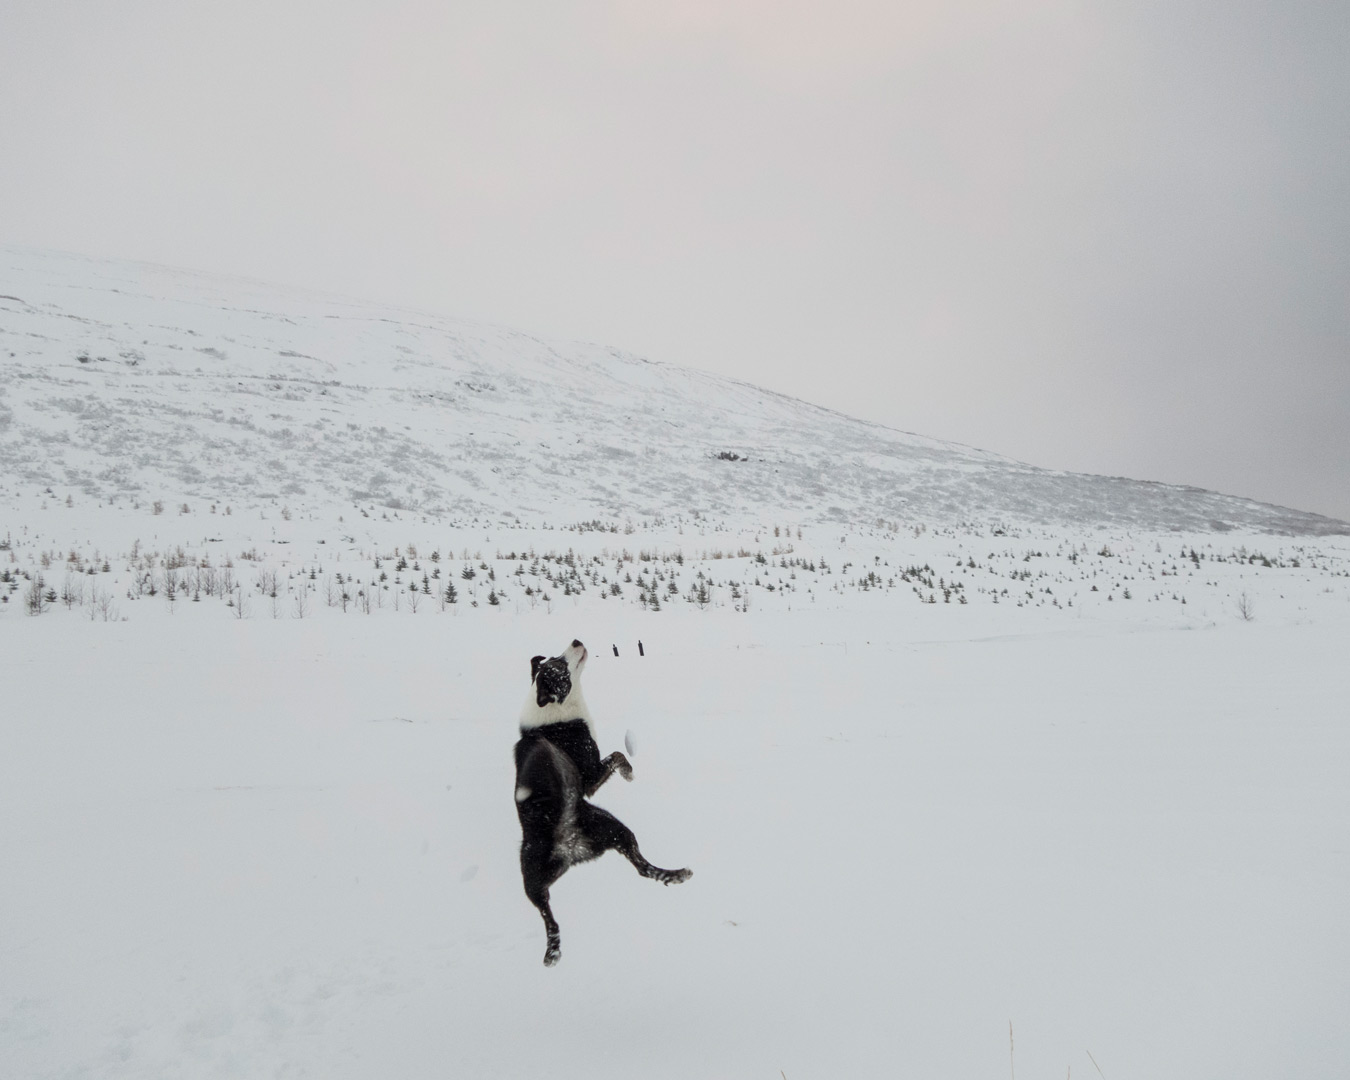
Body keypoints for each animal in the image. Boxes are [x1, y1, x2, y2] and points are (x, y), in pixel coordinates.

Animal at [514, 639, 691, 966]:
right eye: (558, 665)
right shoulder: (590, 777)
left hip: (604, 837)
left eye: (554, 657)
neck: (554, 712)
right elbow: (617, 756)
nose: (575, 640)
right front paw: (630, 772)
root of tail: (569, 842)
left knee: (641, 870)